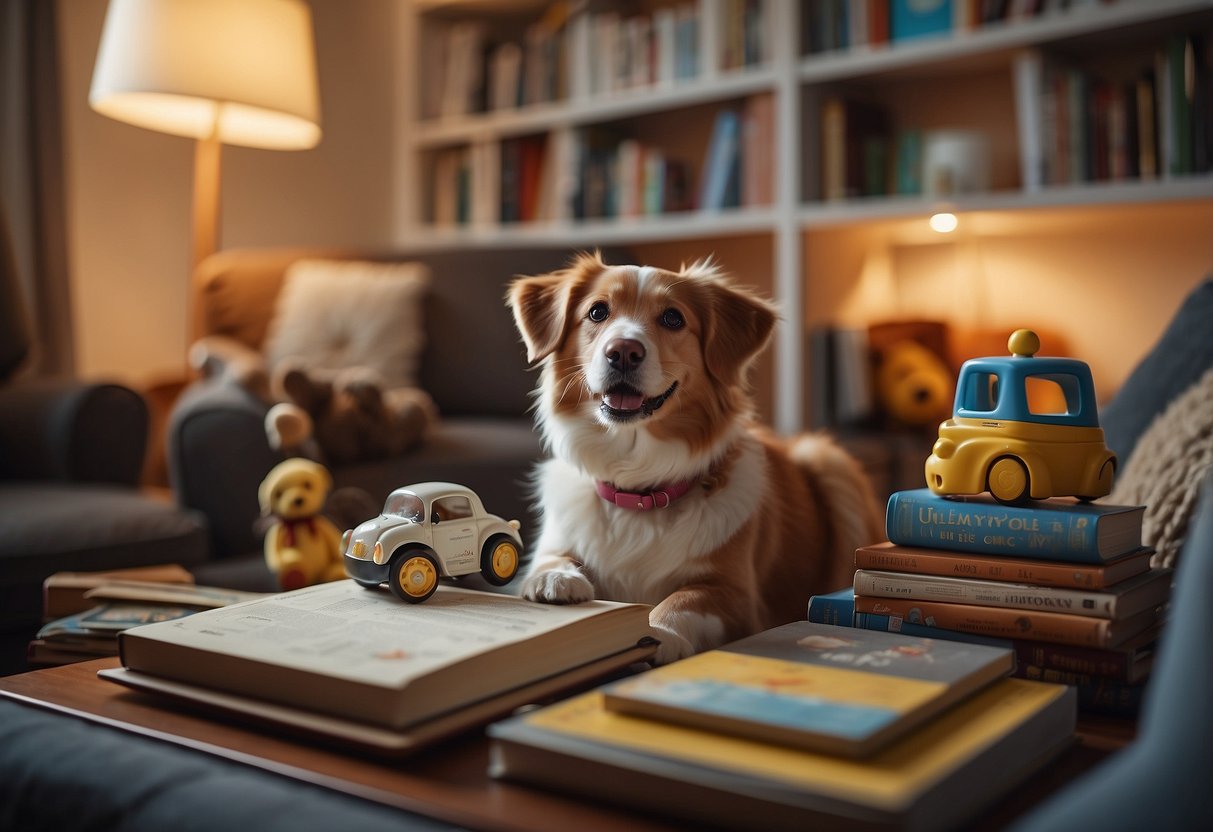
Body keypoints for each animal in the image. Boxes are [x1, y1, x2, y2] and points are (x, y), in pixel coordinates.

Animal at [504, 254, 883, 664]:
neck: (638, 488)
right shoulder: (557, 541)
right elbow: (550, 558)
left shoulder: (735, 596)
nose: (622, 351)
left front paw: (658, 632)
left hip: (831, 464)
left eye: (673, 318)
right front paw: (555, 578)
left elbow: (681, 600)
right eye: (597, 311)